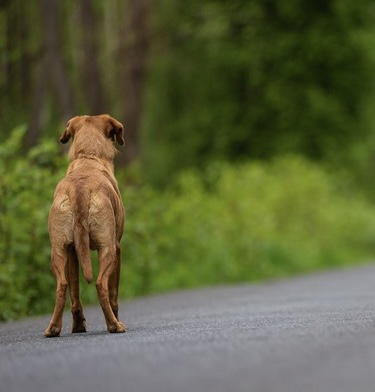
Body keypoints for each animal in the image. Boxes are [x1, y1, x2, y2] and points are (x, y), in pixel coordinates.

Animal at [44, 113, 126, 336]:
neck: (87, 158)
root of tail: (79, 189)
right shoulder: (117, 247)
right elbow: (114, 294)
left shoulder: (73, 250)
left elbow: (75, 291)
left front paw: (78, 325)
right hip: (107, 249)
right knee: (101, 284)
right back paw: (114, 325)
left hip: (58, 250)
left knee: (62, 285)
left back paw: (54, 328)